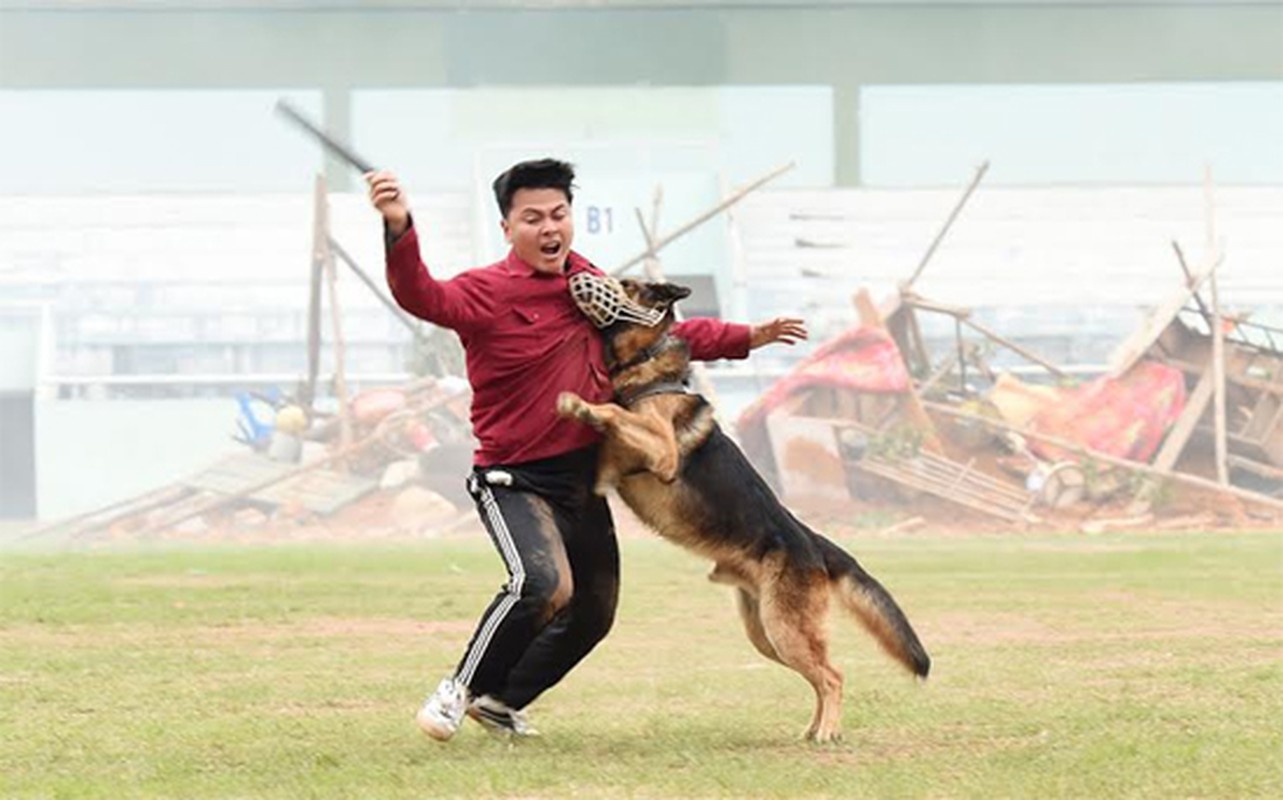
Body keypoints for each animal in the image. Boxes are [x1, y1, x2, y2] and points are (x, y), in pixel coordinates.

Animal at [556, 279, 928, 743]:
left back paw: (827, 732)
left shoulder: (662, 453)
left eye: (625, 285)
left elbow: (613, 413)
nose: (576, 278)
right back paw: (813, 729)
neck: (646, 361)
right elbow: (610, 432)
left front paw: (579, 405)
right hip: (766, 633)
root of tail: (815, 544)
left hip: (785, 630)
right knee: (819, 676)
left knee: (833, 675)